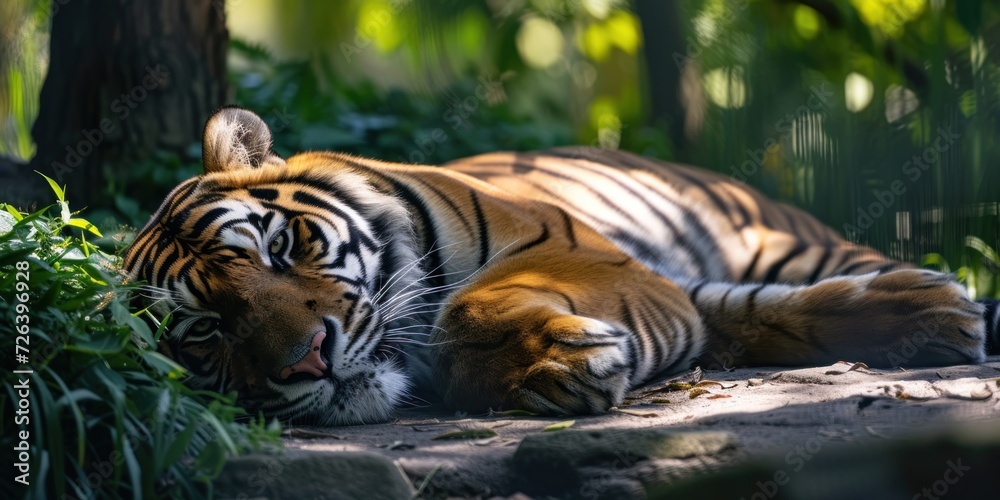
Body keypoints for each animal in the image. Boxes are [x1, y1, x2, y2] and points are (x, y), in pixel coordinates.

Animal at [123, 106, 1000, 425]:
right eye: (206, 333)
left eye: (279, 249)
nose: (308, 361)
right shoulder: (669, 294)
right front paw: (552, 365)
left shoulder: (581, 251)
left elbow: (465, 307)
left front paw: (557, 357)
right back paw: (933, 313)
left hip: (789, 238)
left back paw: (942, 307)